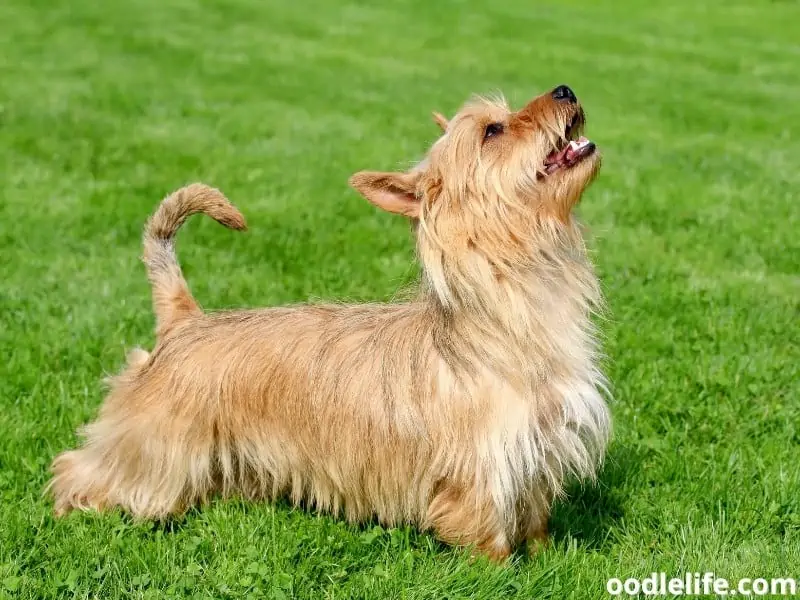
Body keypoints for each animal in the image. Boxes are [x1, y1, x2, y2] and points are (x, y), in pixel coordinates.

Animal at [48, 85, 612, 564]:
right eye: (493, 130)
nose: (564, 89)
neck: (511, 310)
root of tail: (185, 320)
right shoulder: (483, 465)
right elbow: (487, 533)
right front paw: (501, 574)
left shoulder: (538, 452)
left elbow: (534, 518)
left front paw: (545, 557)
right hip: (153, 446)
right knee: (82, 467)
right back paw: (70, 509)